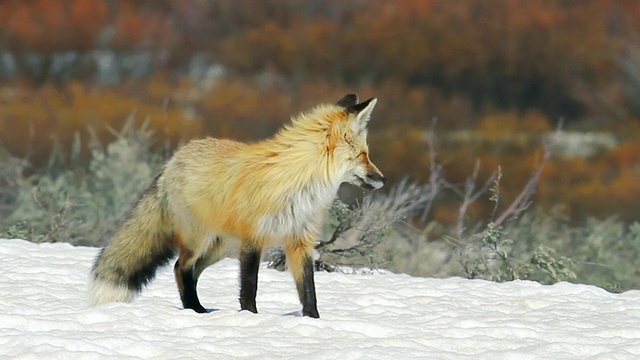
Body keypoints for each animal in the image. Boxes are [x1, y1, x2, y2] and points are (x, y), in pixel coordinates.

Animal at [87, 93, 382, 318]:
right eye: (363, 155)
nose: (383, 179)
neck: (297, 182)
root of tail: (172, 161)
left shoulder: (300, 239)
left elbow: (308, 290)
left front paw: (313, 321)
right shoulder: (253, 237)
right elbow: (249, 287)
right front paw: (249, 318)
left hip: (220, 247)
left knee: (191, 272)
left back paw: (198, 309)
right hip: (199, 240)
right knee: (180, 268)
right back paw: (195, 311)